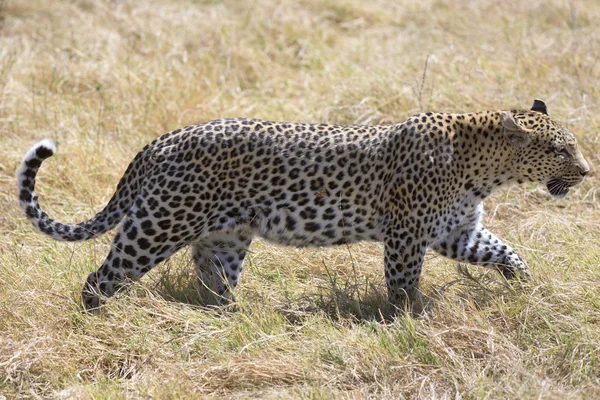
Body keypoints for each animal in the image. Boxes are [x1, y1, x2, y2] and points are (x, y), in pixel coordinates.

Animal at [17, 98, 592, 310]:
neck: (484, 170)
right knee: (101, 276)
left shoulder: (456, 231)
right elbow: (403, 282)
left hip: (225, 236)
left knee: (213, 278)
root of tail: (161, 141)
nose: (587, 172)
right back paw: (99, 317)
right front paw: (410, 318)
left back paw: (236, 317)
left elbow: (503, 249)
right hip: (159, 223)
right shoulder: (408, 233)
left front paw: (525, 285)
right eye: (561, 150)